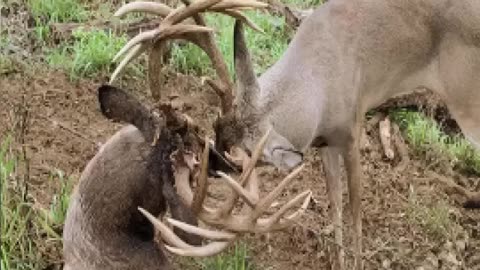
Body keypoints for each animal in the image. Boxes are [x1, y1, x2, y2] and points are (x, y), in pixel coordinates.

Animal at [107, 0, 480, 270]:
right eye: (214, 131)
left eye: (238, 156)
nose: (209, 167)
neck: (320, 83)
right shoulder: (325, 142)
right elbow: (336, 205)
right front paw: (339, 261)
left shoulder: (352, 130)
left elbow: (356, 212)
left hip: (468, 102)